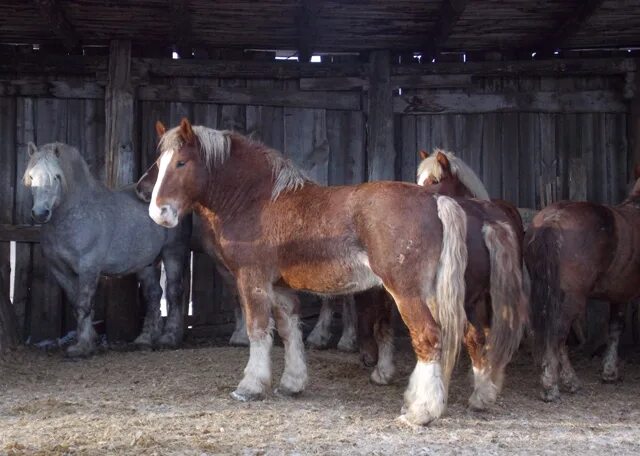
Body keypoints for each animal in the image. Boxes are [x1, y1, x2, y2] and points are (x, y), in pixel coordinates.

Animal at [25, 142, 190, 356]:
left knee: (173, 292)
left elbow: (83, 303)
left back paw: (169, 338)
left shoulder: (89, 267)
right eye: (30, 176)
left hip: (173, 252)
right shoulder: (59, 270)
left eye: (56, 177)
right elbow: (75, 302)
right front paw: (91, 339)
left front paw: (82, 346)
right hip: (145, 263)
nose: (40, 213)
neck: (75, 214)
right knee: (154, 294)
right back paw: (145, 340)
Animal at [524, 166, 640, 400]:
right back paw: (555, 385)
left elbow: (615, 327)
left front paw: (609, 372)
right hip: (571, 298)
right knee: (557, 335)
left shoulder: (619, 293)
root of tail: (551, 220)